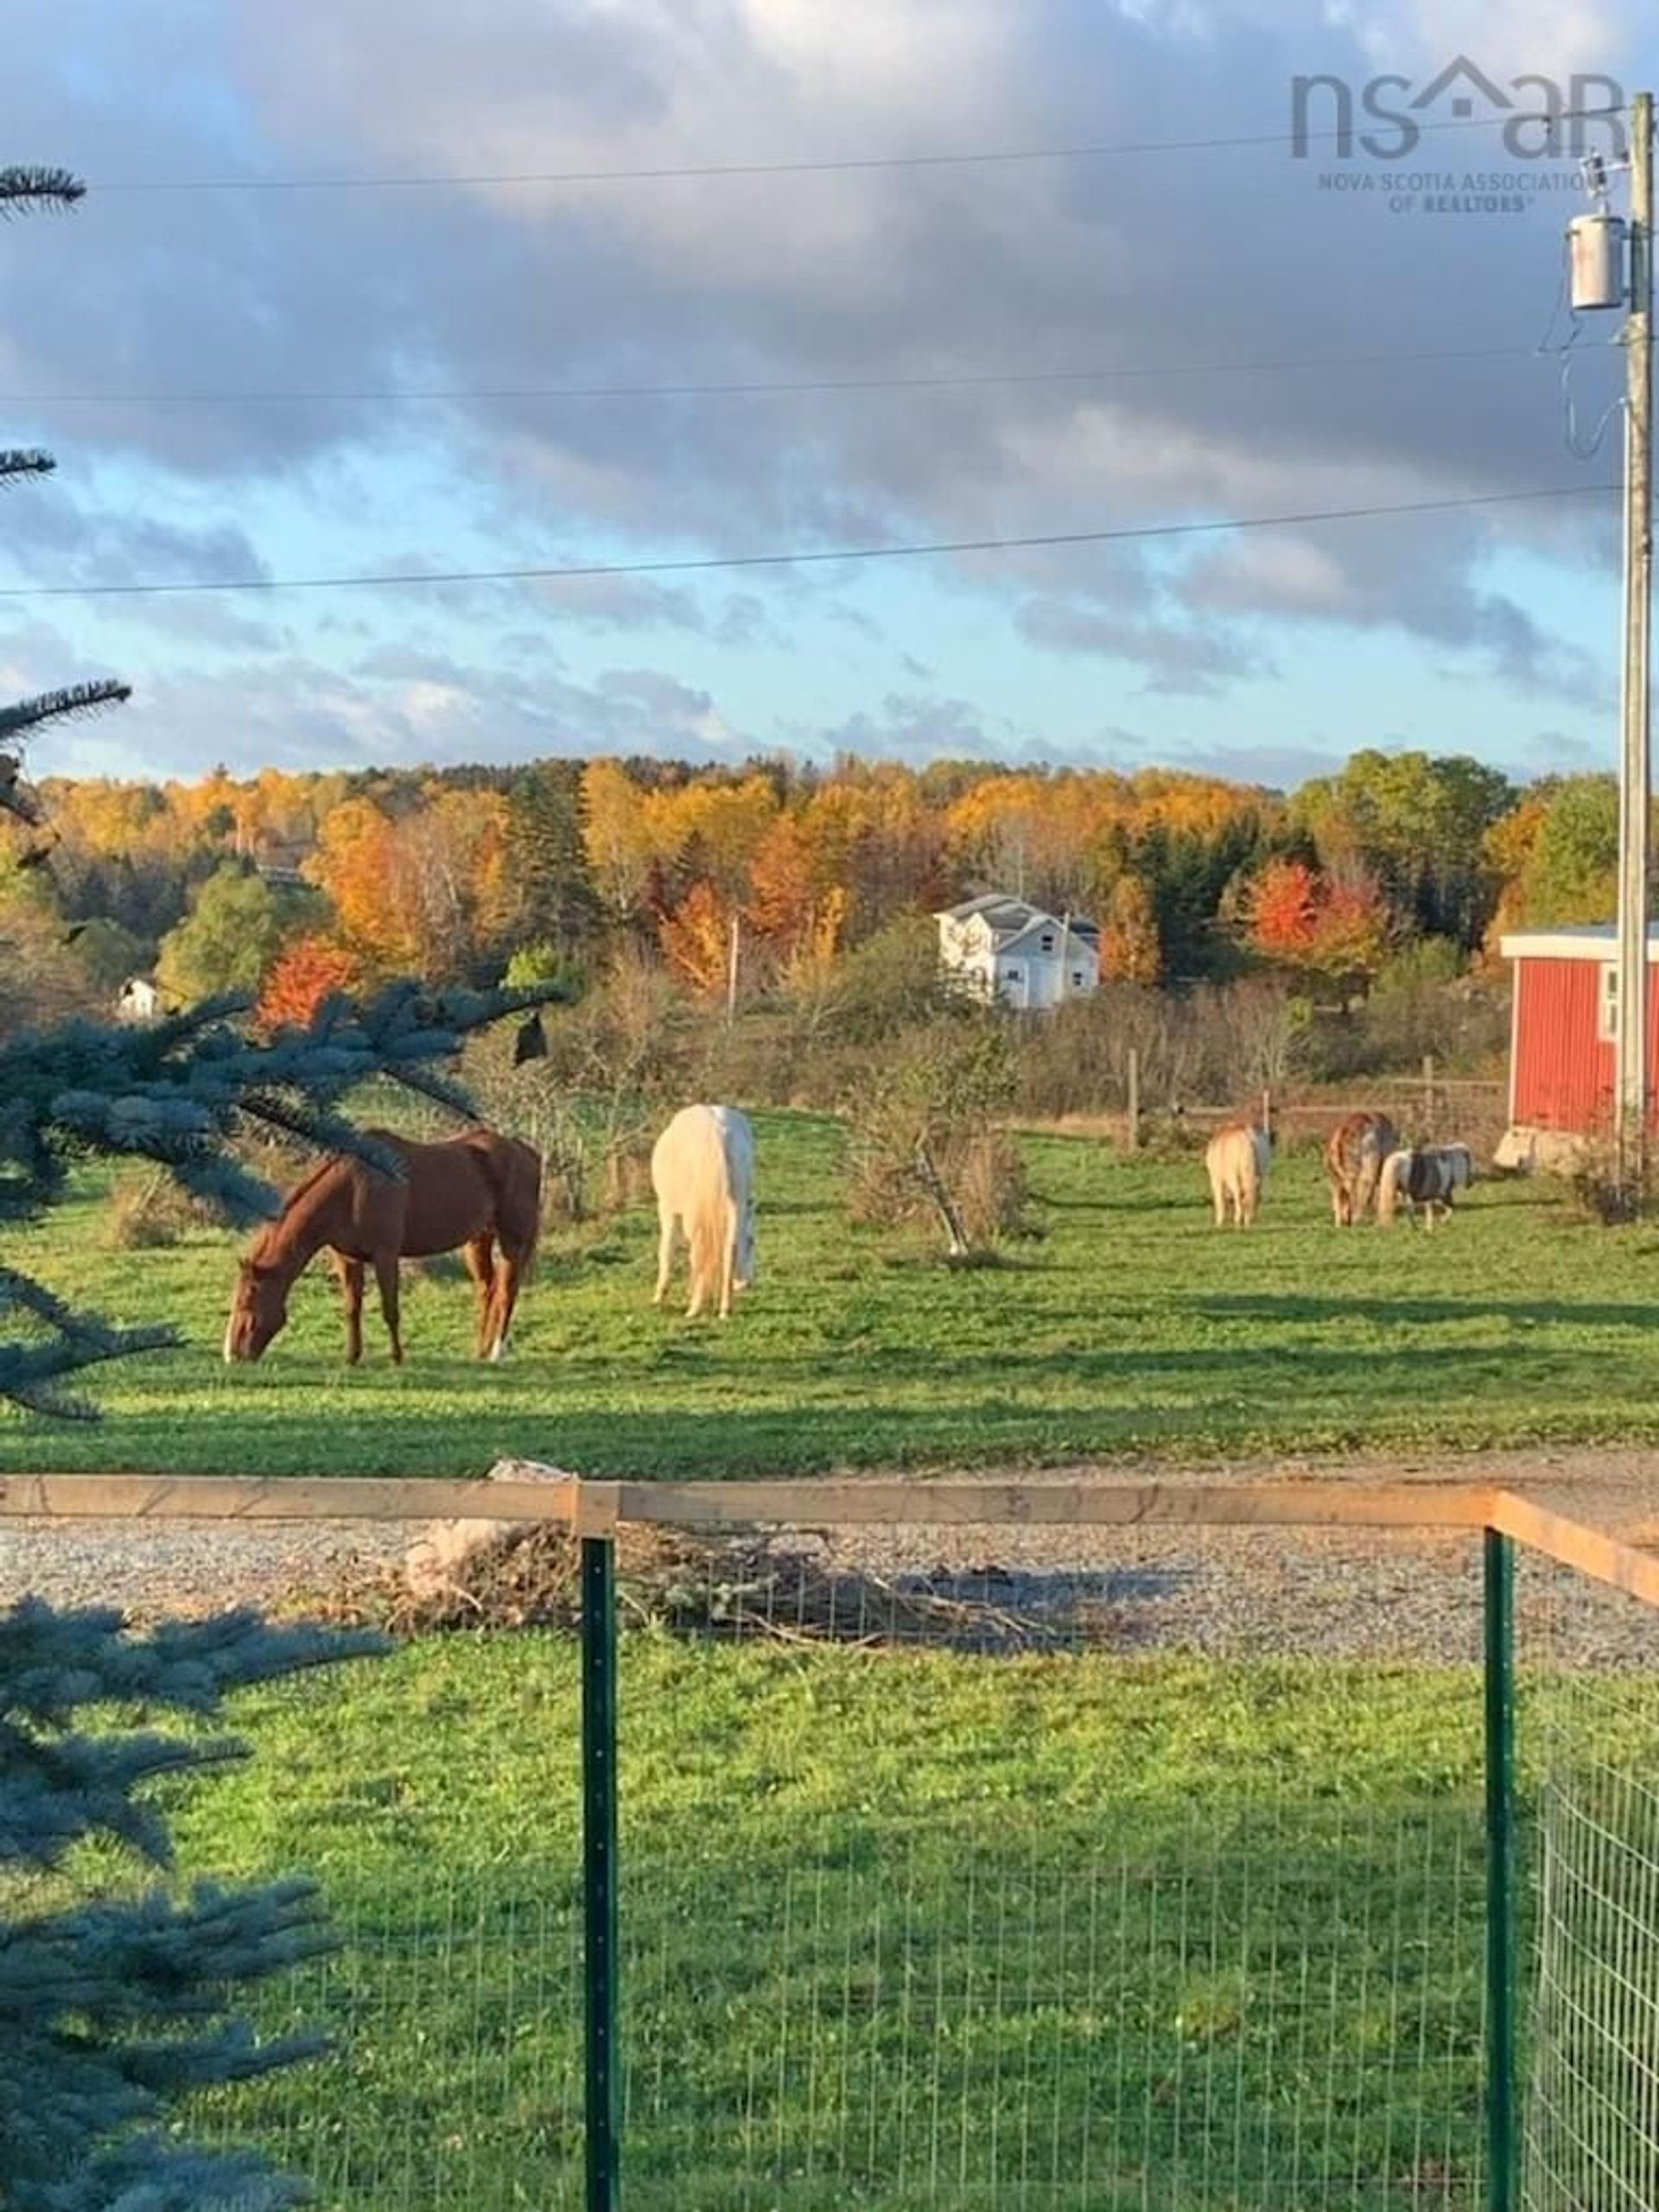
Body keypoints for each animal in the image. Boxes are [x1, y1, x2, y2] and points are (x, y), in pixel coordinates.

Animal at [224, 1123, 539, 1362]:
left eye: (247, 1300)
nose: (232, 1355)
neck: (354, 1187)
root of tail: (526, 1152)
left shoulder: (386, 1255)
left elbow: (391, 1310)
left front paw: (397, 1358)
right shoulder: (348, 1258)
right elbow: (352, 1308)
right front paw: (352, 1357)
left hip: (513, 1240)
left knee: (506, 1293)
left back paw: (496, 1353)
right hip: (478, 1241)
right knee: (488, 1290)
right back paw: (480, 1353)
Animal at [650, 1101, 760, 1309]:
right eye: (751, 1242)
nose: (745, 1284)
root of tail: (719, 1132)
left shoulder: (667, 1208)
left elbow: (666, 1250)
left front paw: (660, 1294)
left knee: (699, 1248)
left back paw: (695, 1306)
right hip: (737, 1204)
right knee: (729, 1247)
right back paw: (725, 1306)